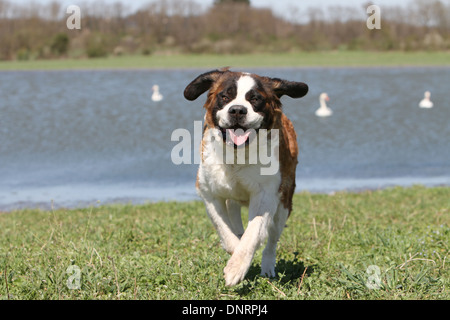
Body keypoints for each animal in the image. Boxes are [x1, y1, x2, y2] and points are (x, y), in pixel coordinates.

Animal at [185, 67, 308, 284]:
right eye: (225, 96)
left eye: (255, 99)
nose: (237, 110)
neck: (237, 156)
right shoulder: (209, 192)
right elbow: (224, 229)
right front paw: (235, 251)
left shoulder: (267, 194)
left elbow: (254, 232)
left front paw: (237, 266)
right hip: (232, 201)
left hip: (284, 203)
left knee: (272, 239)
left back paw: (267, 267)